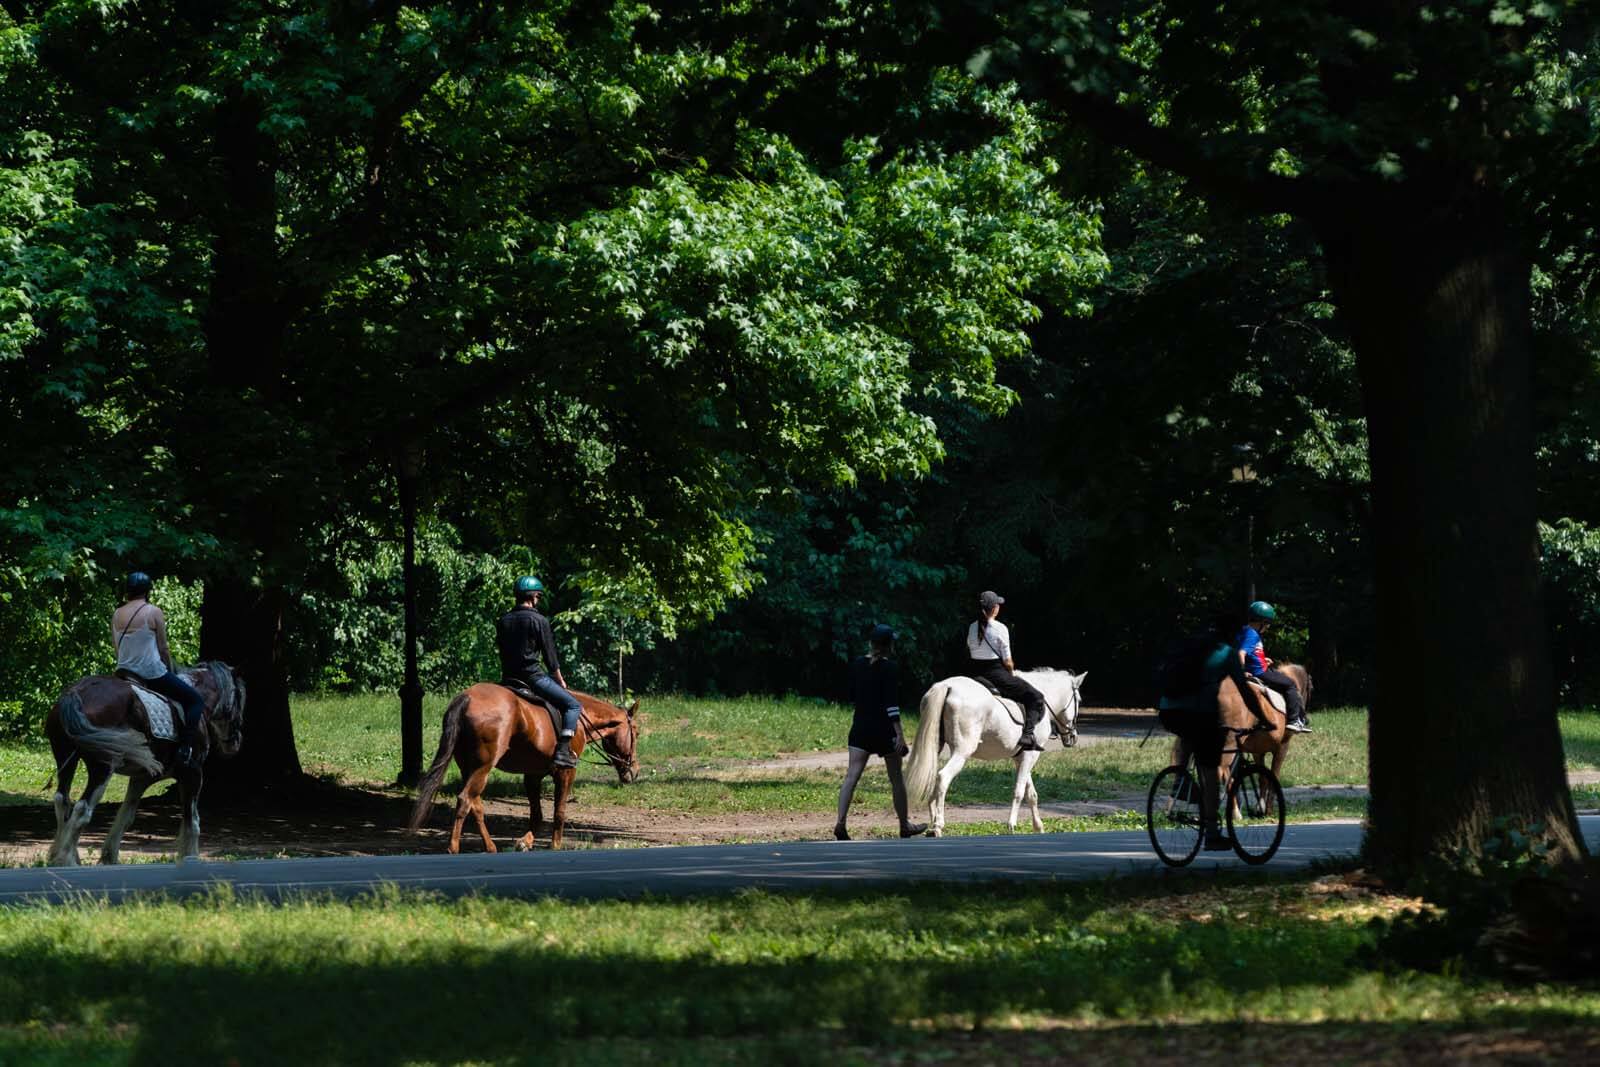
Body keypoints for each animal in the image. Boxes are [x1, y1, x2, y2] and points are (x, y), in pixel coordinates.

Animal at [44, 668, 243, 870]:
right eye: (239, 698)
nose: (235, 742)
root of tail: (76, 692)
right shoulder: (192, 774)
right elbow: (192, 820)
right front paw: (190, 858)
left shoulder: (141, 779)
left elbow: (125, 816)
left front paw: (109, 857)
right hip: (102, 767)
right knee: (82, 809)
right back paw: (67, 860)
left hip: (65, 759)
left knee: (62, 801)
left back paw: (58, 855)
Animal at [409, 687, 640, 857]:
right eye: (636, 732)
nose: (635, 771)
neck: (581, 719)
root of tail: (467, 697)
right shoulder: (566, 773)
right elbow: (559, 812)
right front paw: (555, 845)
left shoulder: (533, 775)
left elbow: (537, 814)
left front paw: (525, 842)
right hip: (483, 767)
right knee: (465, 799)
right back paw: (454, 848)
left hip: (469, 768)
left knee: (476, 805)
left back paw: (490, 847)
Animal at [902, 671, 1088, 838]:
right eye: (1078, 700)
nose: (1073, 737)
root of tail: (948, 686)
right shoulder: (1031, 756)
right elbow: (1019, 791)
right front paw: (1012, 825)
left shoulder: (1021, 758)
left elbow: (1031, 794)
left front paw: (1038, 827)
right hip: (963, 751)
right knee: (943, 777)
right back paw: (938, 825)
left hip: (936, 746)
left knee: (934, 776)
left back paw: (933, 820)